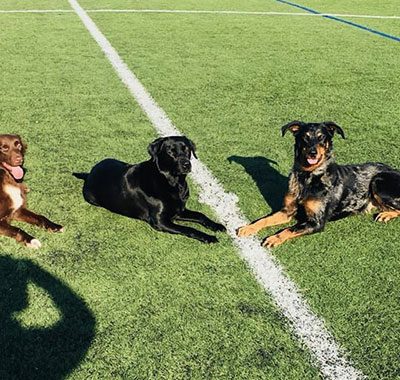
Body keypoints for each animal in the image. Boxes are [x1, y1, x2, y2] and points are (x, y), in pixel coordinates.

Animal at [72, 137, 225, 243]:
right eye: (170, 152)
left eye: (187, 149)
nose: (187, 164)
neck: (172, 183)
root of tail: (90, 172)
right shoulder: (160, 221)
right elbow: (189, 228)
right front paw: (209, 237)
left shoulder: (179, 210)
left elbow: (200, 215)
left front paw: (217, 226)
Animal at [236, 120, 400, 248]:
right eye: (305, 137)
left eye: (322, 138)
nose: (313, 153)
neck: (307, 177)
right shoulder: (286, 211)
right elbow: (264, 219)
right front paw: (248, 228)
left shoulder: (316, 222)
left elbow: (289, 229)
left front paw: (273, 238)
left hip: (378, 181)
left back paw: (385, 214)